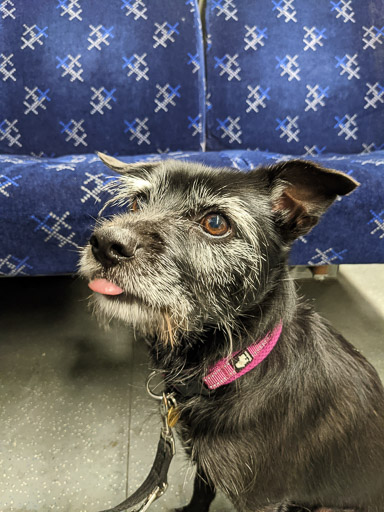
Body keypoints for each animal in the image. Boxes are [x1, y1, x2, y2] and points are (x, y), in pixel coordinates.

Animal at [79, 155, 384, 512]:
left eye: (215, 223)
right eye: (137, 203)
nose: (105, 243)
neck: (234, 363)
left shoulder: (262, 499)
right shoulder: (203, 460)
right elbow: (202, 489)